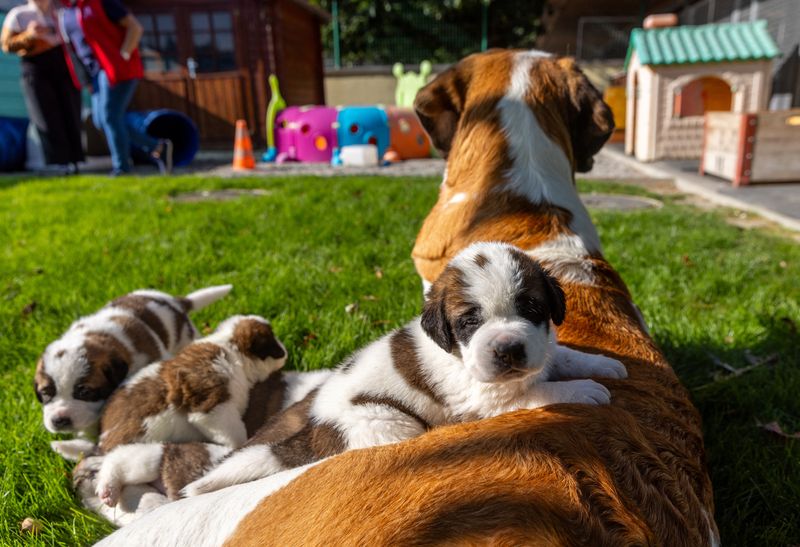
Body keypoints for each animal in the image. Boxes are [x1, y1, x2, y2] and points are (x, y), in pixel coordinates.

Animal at [95, 50, 720, 547]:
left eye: (532, 311)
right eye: (468, 323)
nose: (508, 350)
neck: (531, 208)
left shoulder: (538, 344)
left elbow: (560, 354)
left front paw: (599, 364)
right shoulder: (483, 395)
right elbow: (536, 388)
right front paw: (583, 388)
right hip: (382, 429)